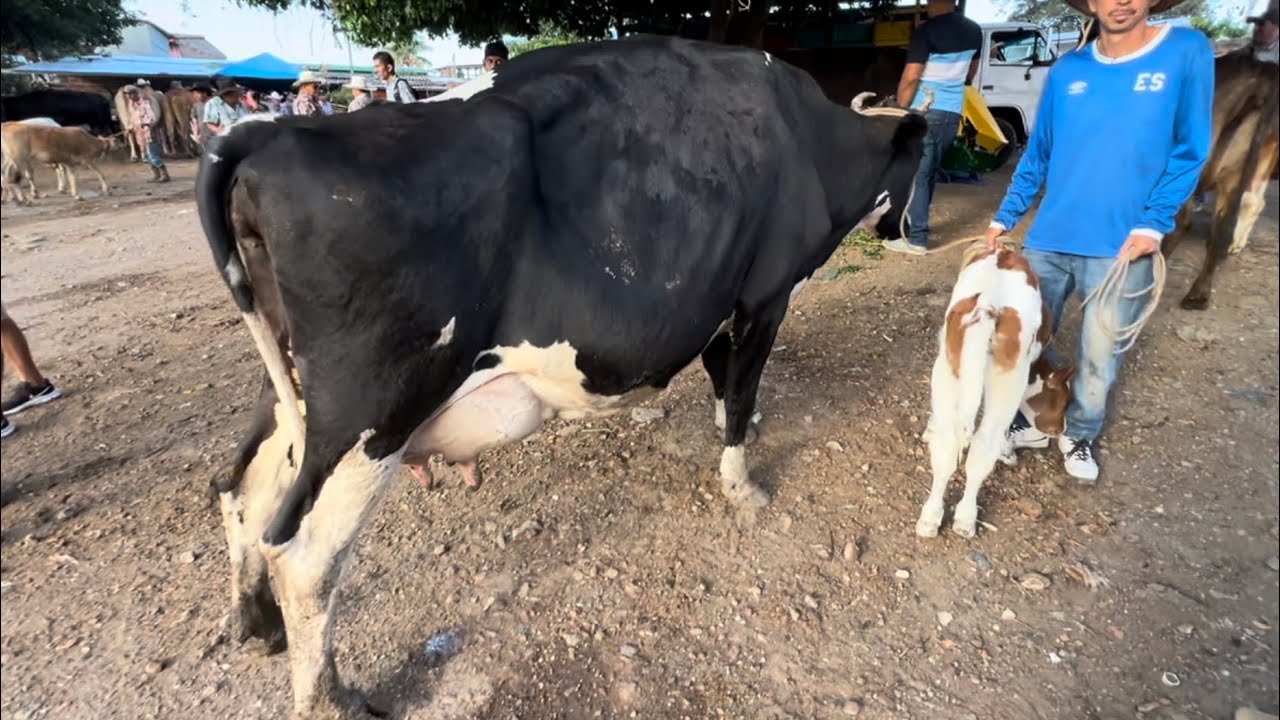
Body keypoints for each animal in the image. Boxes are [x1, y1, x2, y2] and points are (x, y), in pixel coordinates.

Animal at [196, 35, 927, 718]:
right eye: (922, 160)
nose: (902, 230)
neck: (810, 140)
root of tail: (267, 135)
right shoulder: (763, 298)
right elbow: (742, 390)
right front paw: (744, 486)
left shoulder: (724, 305)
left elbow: (726, 387)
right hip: (373, 413)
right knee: (307, 556)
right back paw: (332, 698)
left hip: (295, 393)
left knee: (242, 491)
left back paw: (256, 625)